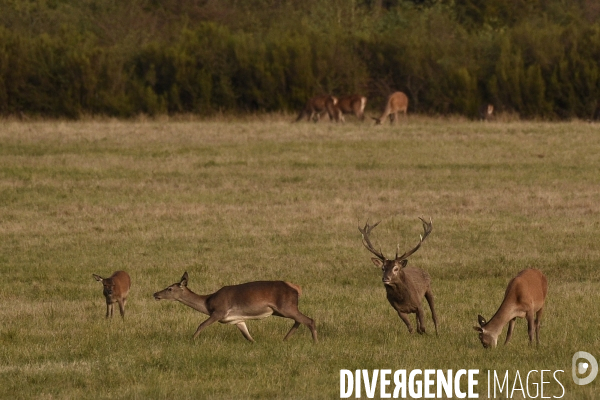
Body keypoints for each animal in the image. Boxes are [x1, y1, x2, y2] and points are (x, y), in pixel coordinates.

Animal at [154, 272, 318, 344]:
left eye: (169, 288)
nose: (155, 294)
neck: (207, 302)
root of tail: (297, 288)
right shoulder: (237, 319)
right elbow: (248, 336)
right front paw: (255, 343)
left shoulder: (219, 311)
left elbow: (201, 324)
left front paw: (191, 341)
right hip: (281, 310)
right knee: (299, 320)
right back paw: (285, 339)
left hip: (286, 306)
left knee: (309, 320)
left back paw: (315, 342)